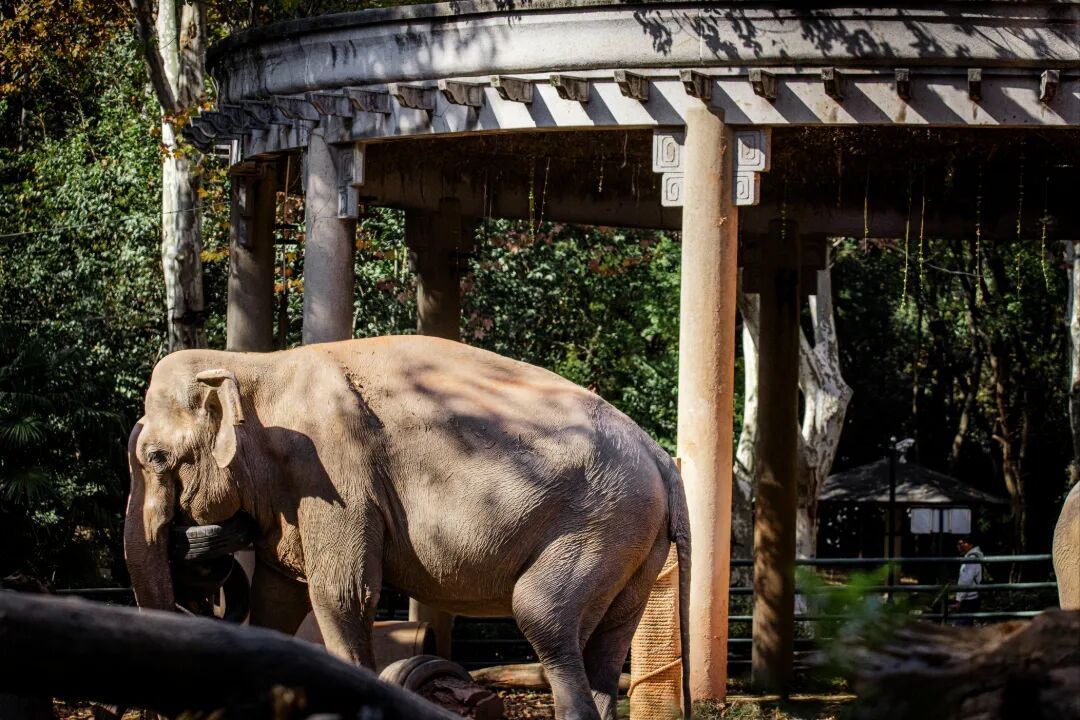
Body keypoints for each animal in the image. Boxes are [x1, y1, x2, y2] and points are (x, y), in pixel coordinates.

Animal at [124, 336, 691, 720]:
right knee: (608, 645)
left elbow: (343, 594)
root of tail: (661, 459)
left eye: (155, 458)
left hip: (599, 525)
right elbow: (278, 599)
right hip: (634, 544)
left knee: (543, 615)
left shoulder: (334, 474)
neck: (254, 365)